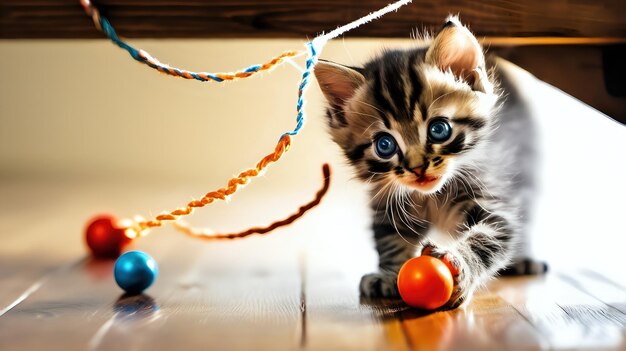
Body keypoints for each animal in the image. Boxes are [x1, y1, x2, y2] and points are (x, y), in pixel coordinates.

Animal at [314, 15, 544, 310]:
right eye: (384, 145)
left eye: (439, 130)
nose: (417, 168)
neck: (433, 196)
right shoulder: (387, 200)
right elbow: (389, 238)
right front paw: (388, 274)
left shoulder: (492, 194)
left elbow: (491, 235)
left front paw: (461, 265)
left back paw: (523, 259)